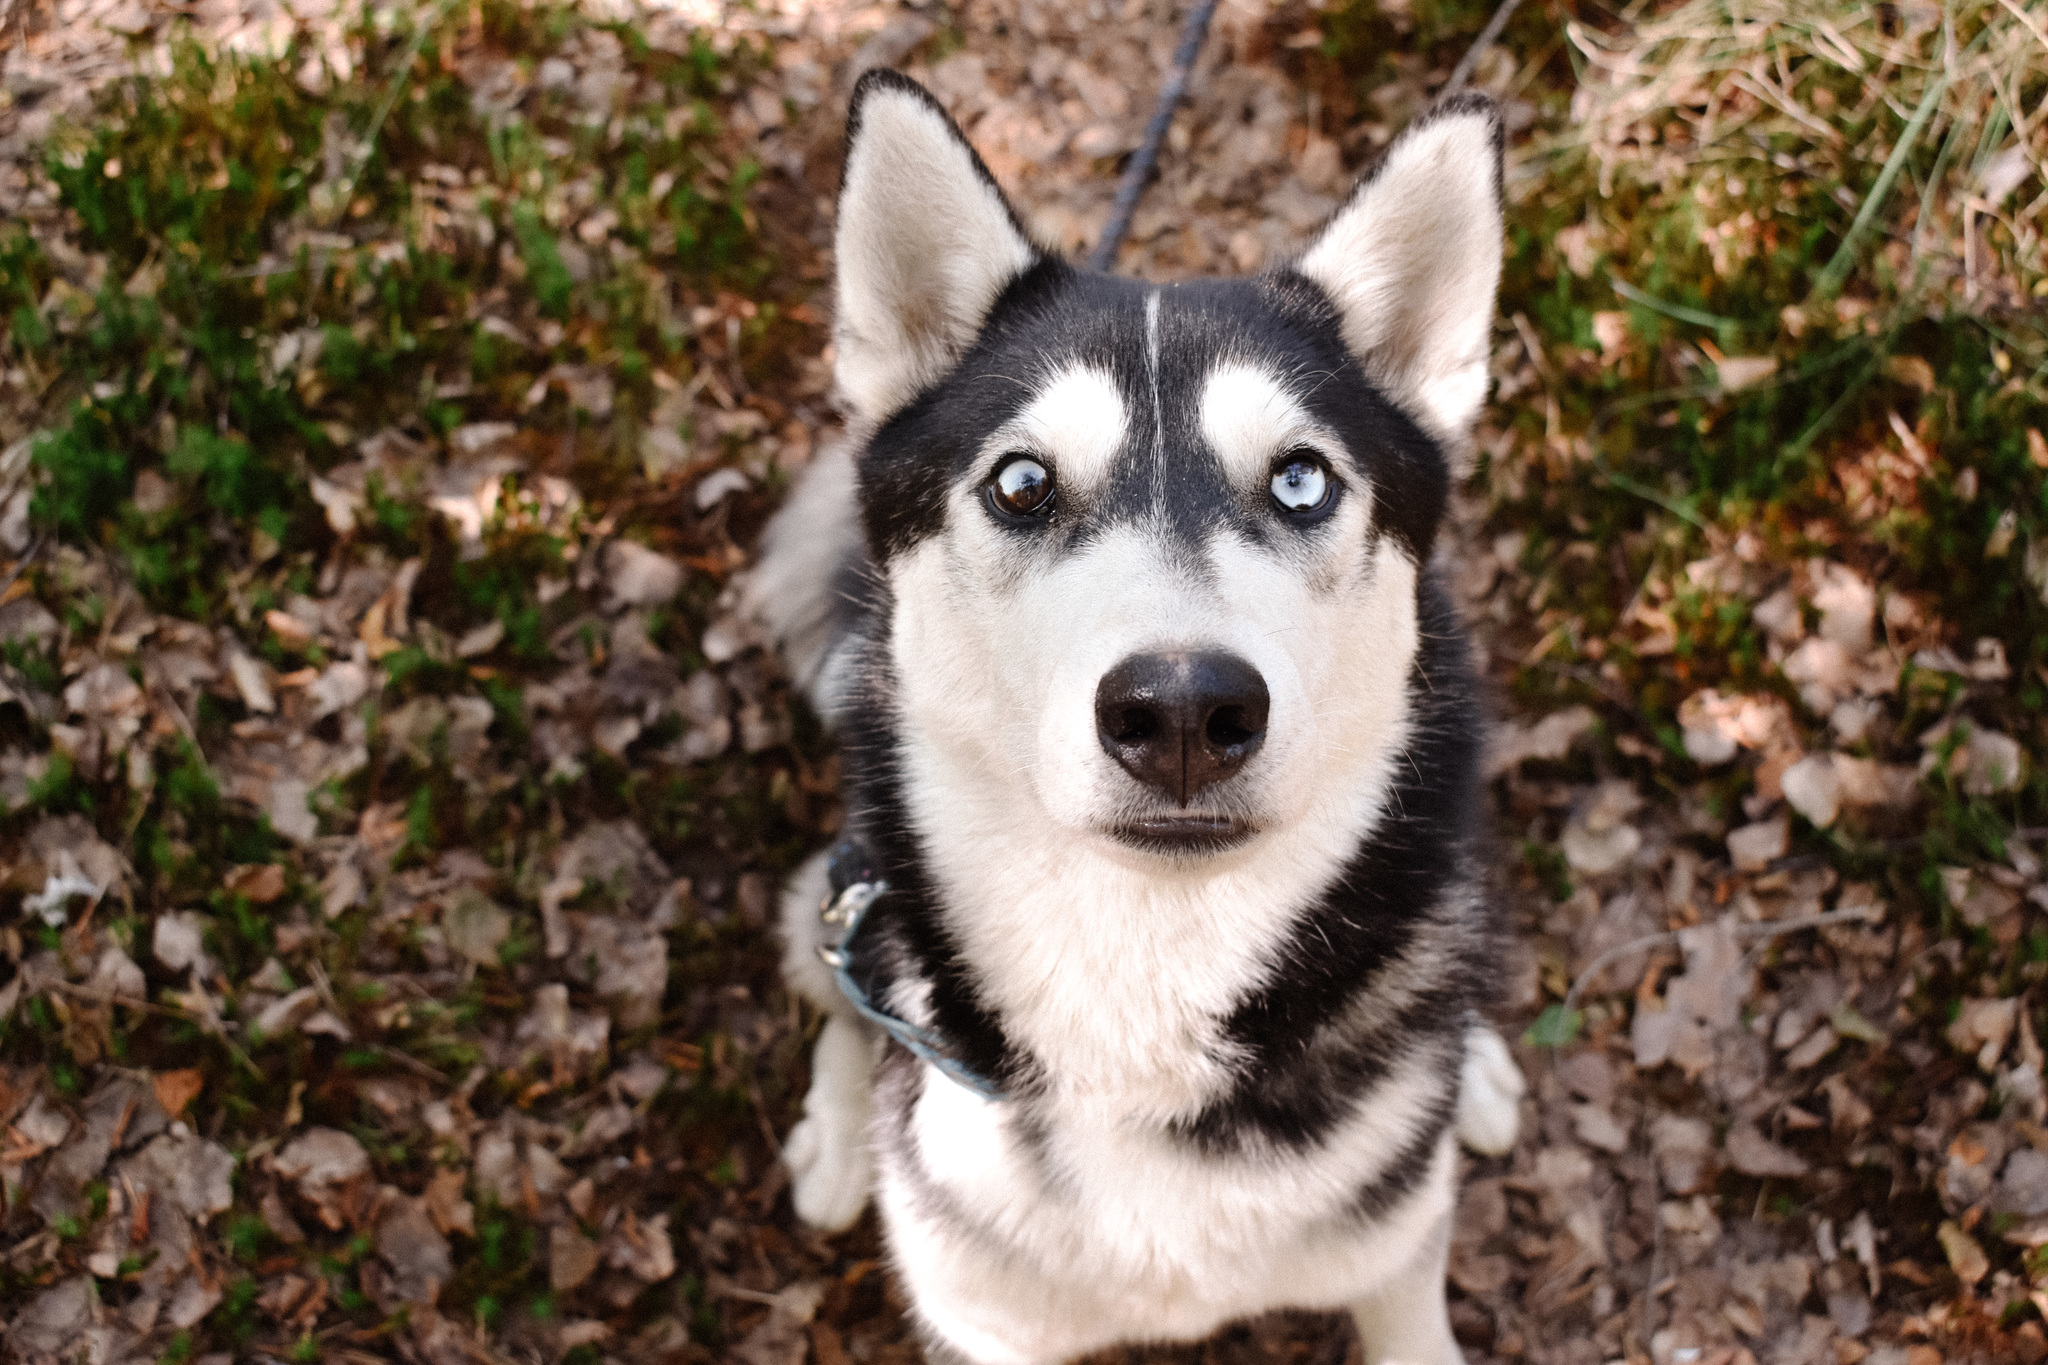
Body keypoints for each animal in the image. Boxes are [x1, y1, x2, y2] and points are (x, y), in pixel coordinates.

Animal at [745, 69, 1531, 1365]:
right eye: (1020, 483)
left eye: (1300, 480)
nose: (1181, 706)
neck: (1142, 986)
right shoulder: (988, 1322)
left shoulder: (1396, 1257)